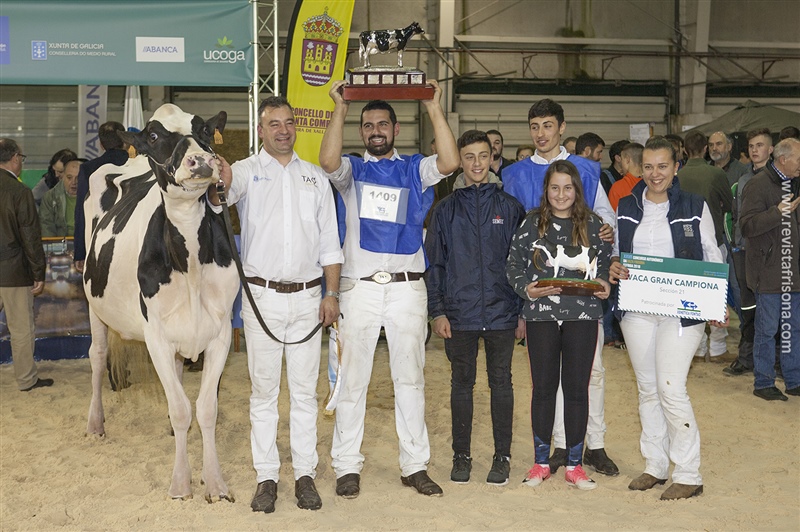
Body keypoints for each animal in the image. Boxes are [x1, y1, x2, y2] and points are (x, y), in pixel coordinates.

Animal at [86, 105, 241, 502]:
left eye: (204, 131)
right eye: (154, 136)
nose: (202, 160)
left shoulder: (219, 333)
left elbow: (205, 409)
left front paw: (215, 483)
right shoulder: (155, 337)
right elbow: (181, 409)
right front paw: (181, 483)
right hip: (93, 302)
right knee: (97, 356)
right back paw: (95, 423)